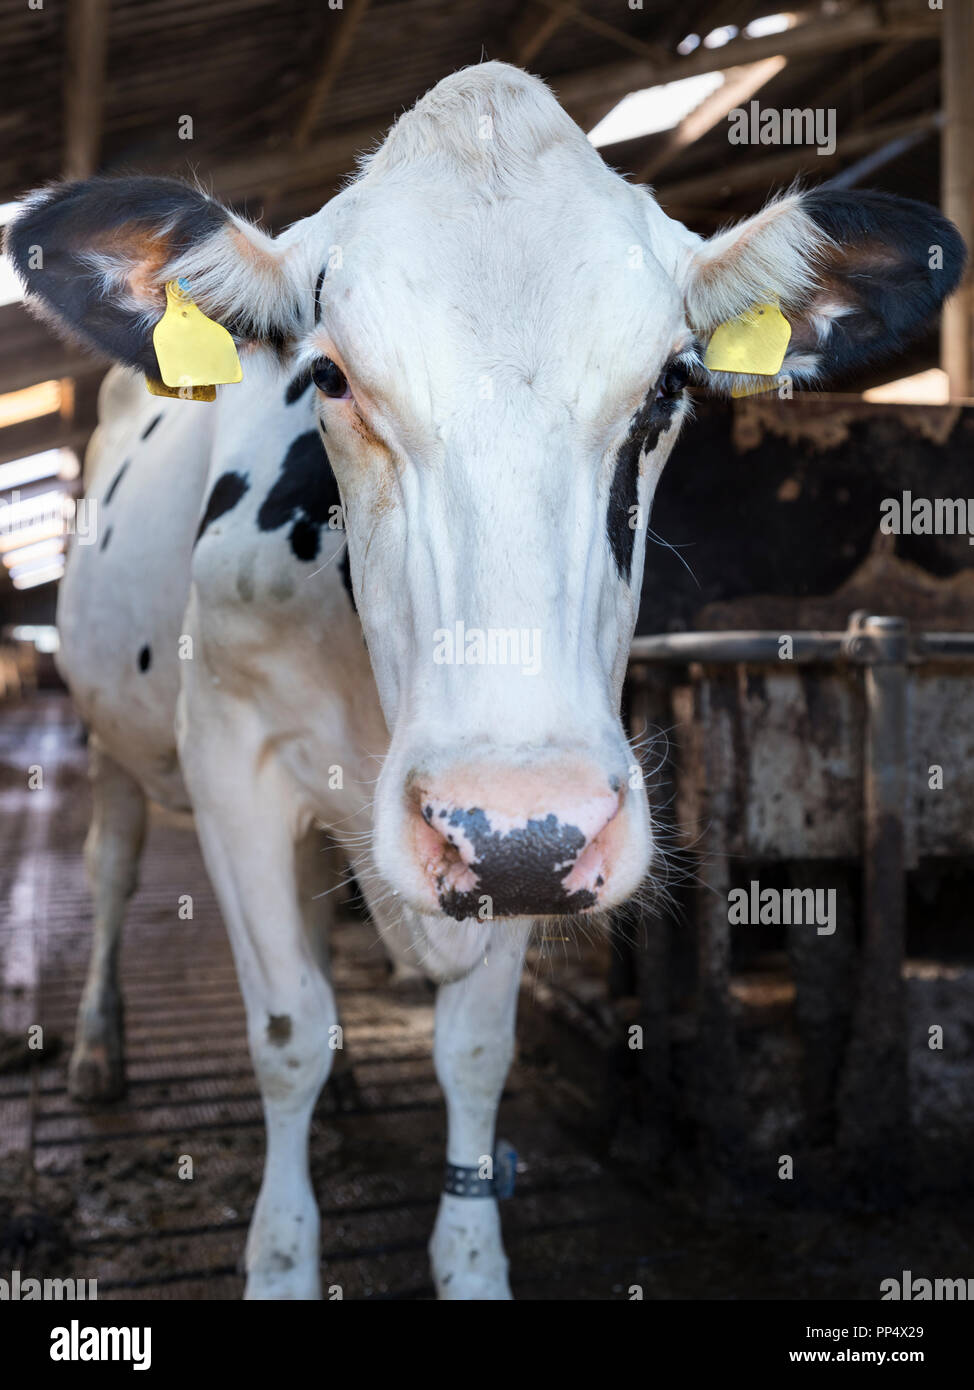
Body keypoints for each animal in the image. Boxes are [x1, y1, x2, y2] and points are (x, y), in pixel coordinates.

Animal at [6, 62, 964, 1300]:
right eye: (328, 374)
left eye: (668, 387)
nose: (502, 830)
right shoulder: (231, 757)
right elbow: (281, 1031)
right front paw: (280, 1255)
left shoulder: (551, 819)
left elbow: (471, 1045)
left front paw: (468, 1259)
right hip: (113, 733)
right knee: (115, 865)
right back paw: (92, 1051)